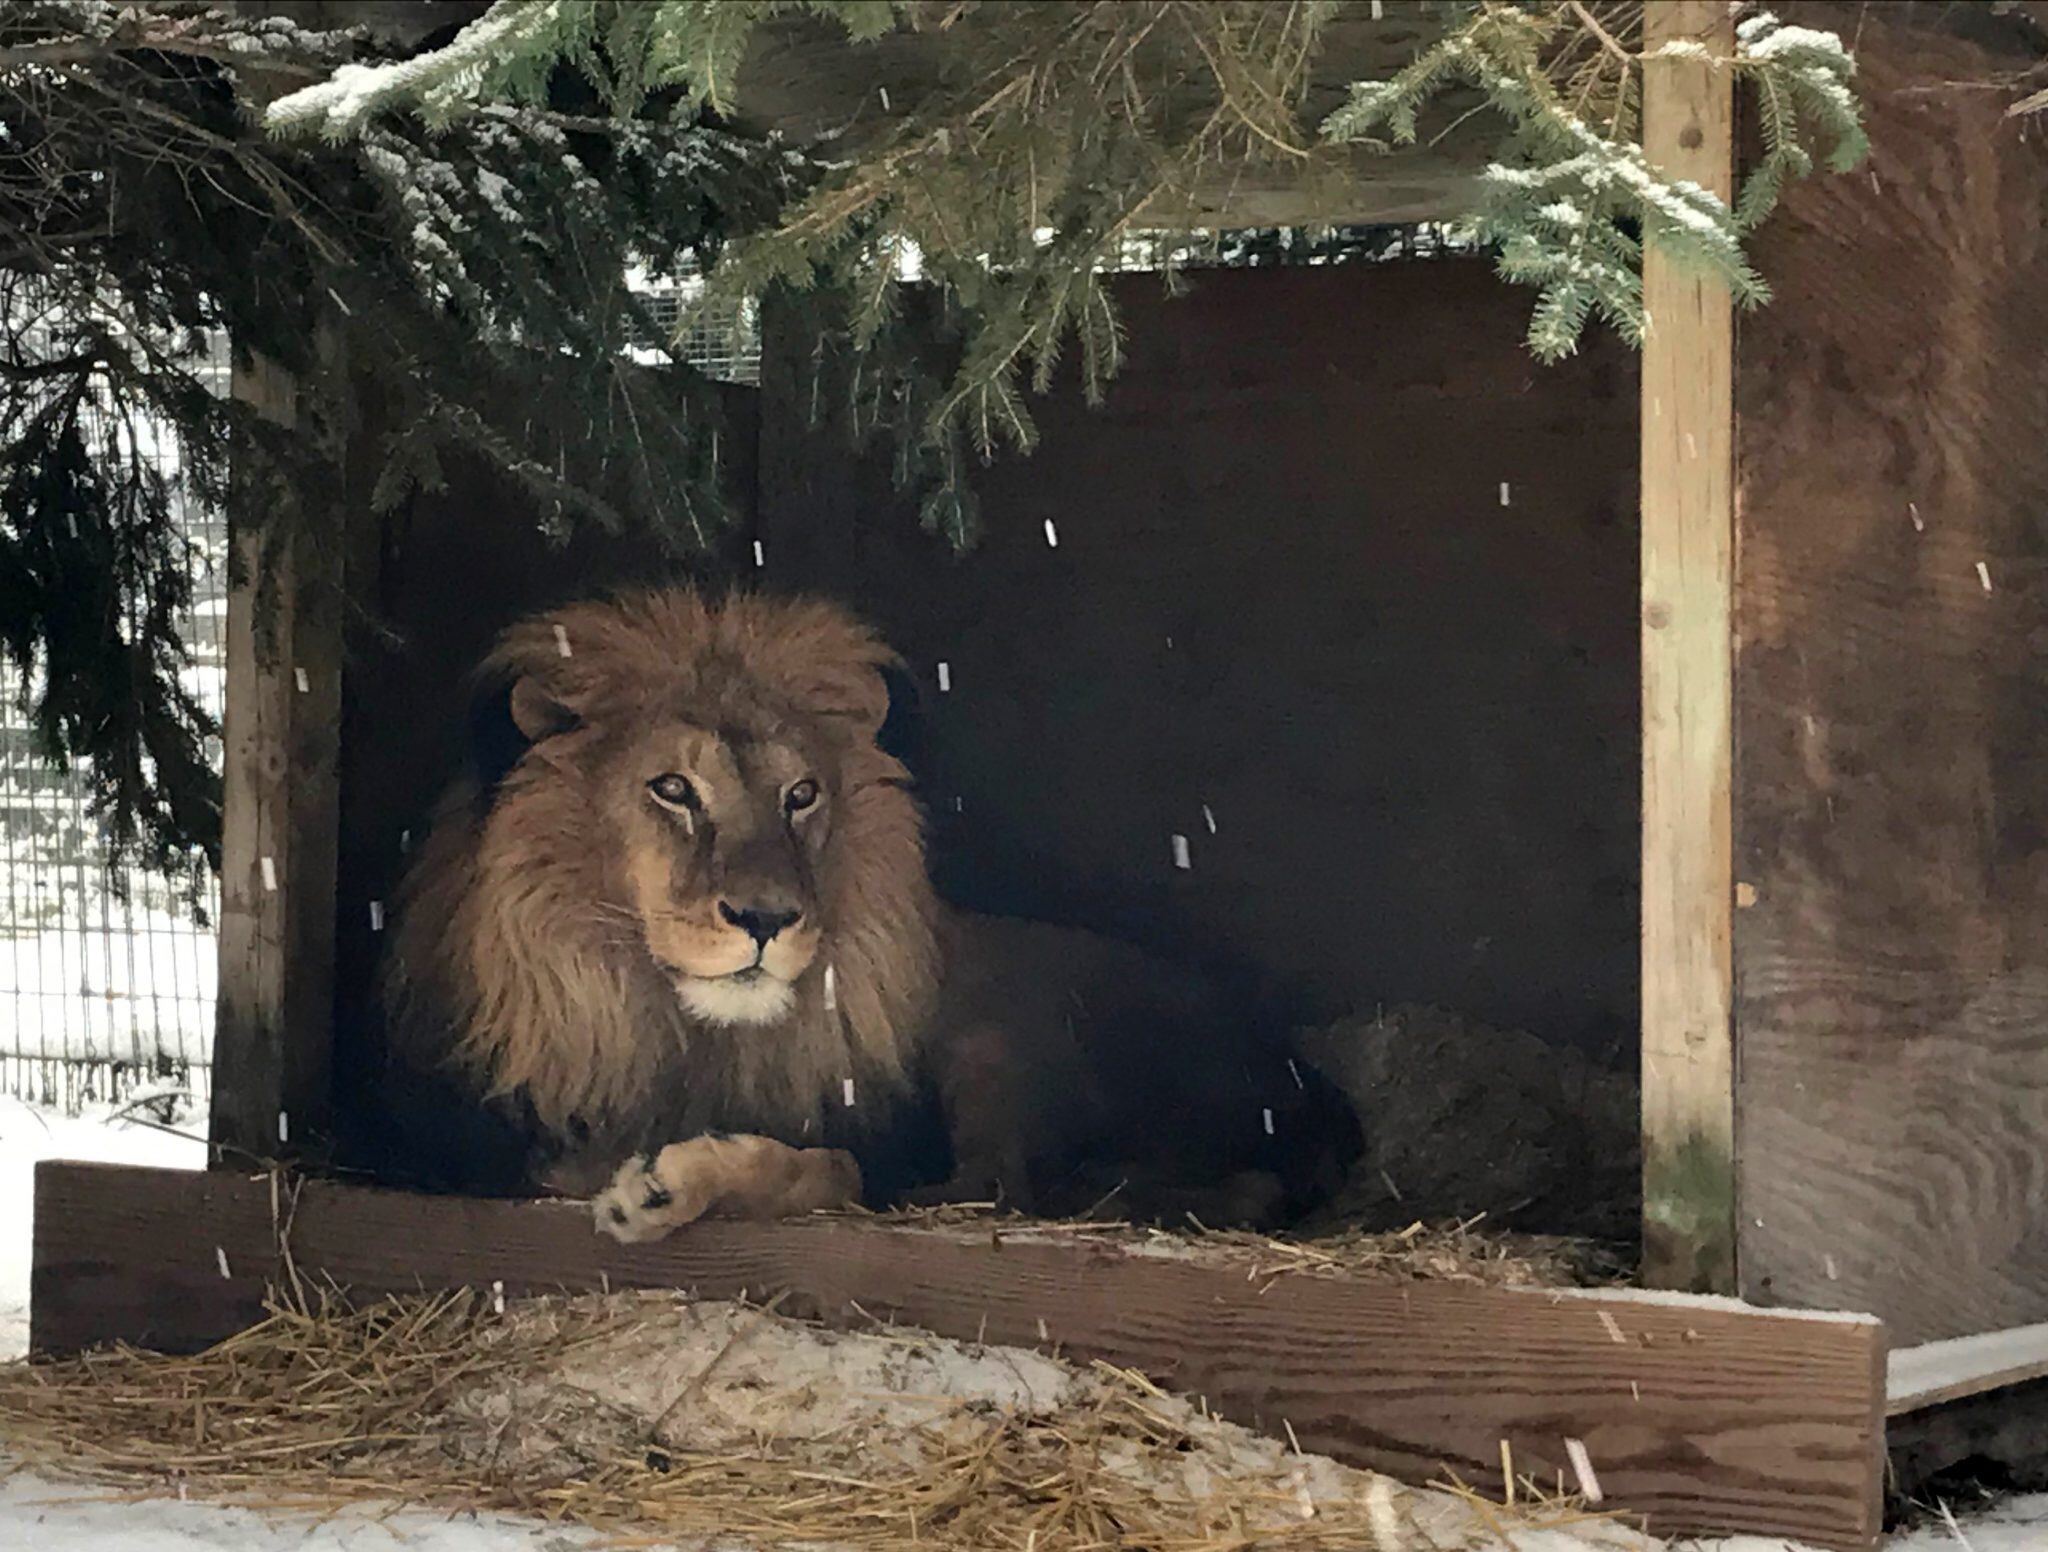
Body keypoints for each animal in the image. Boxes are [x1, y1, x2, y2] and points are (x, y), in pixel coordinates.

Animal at [376, 581, 1359, 1236]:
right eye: (672, 789)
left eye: (801, 796)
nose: (766, 919)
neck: (677, 1031)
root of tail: (1305, 1082)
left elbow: (836, 1171)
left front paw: (670, 1184)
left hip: (1001, 1032)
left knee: (998, 1188)